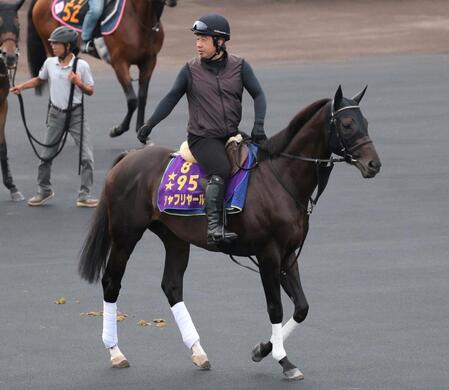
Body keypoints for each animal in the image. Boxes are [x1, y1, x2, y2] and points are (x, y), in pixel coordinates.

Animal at [25, 0, 177, 137]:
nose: (172, 1)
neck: (138, 20)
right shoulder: (120, 64)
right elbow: (132, 100)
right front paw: (118, 129)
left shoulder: (149, 63)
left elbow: (142, 97)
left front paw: (141, 130)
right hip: (52, 47)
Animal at [79, 86, 380, 380]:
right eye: (347, 124)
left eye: (365, 122)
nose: (373, 164)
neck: (280, 178)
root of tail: (128, 157)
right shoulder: (269, 254)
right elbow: (275, 307)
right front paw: (283, 360)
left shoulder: (288, 254)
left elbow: (302, 308)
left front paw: (263, 349)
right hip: (125, 236)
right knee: (112, 282)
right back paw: (116, 352)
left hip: (175, 238)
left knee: (172, 286)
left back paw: (198, 352)